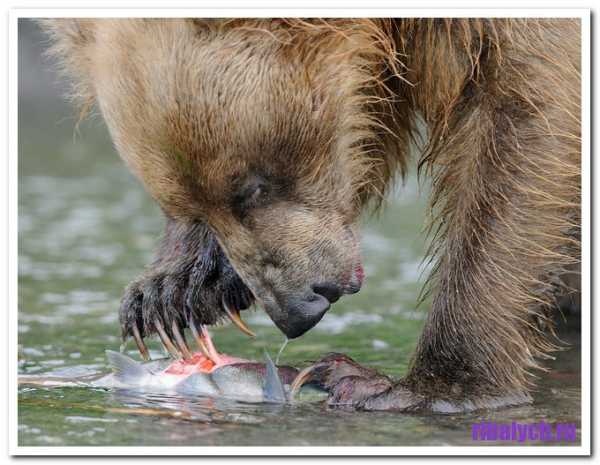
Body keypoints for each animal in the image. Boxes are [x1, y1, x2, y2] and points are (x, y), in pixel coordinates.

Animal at [38, 17, 580, 410]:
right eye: (185, 204)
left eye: (252, 186)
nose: (298, 310)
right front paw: (172, 294)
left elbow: (523, 118)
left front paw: (418, 386)